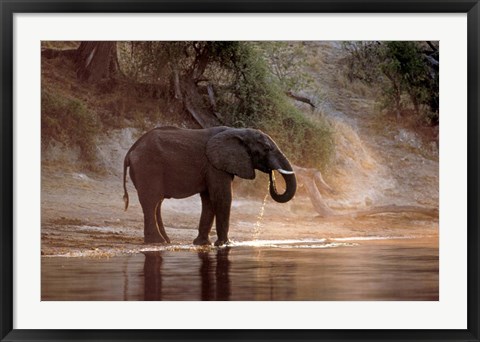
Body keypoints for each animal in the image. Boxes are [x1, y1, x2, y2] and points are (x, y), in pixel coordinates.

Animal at [123, 125, 296, 246]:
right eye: (266, 149)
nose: (271, 176)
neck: (238, 131)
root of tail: (131, 150)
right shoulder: (215, 165)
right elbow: (221, 197)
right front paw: (225, 244)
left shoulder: (213, 167)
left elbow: (209, 200)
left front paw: (202, 244)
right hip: (148, 167)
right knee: (151, 201)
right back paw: (156, 241)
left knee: (156, 203)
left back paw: (166, 241)